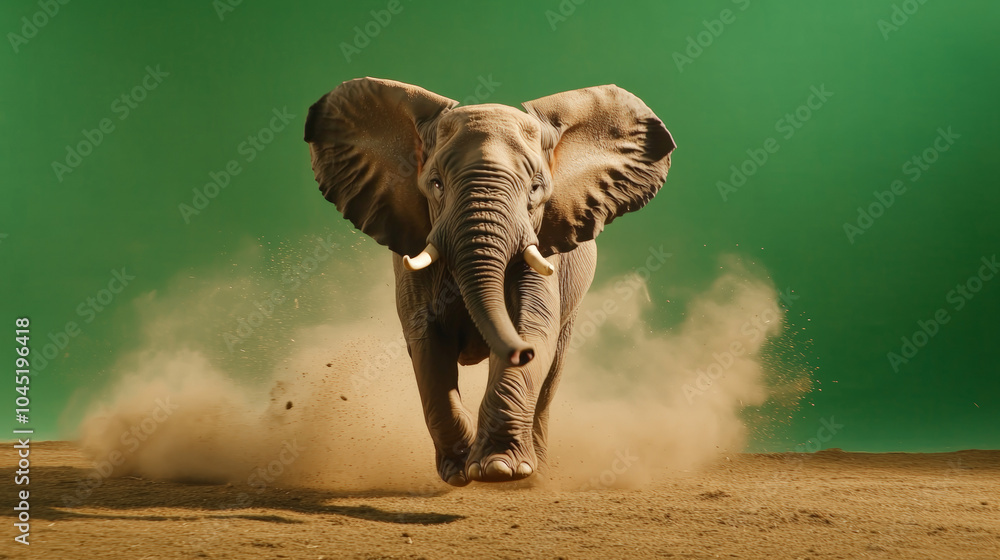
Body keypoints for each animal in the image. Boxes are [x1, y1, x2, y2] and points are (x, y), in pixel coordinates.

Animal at [304, 77, 674, 486]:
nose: (520, 352)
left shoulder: (544, 247)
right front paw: (459, 470)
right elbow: (426, 342)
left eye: (535, 189)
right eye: (435, 184)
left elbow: (533, 324)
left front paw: (499, 469)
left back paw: (535, 471)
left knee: (553, 368)